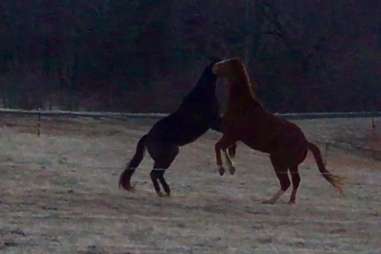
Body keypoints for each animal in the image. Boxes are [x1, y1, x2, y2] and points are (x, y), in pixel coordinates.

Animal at [119, 59, 235, 196]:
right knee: (154, 173)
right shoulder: (213, 122)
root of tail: (148, 136)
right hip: (169, 155)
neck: (203, 93)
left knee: (157, 174)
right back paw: (162, 192)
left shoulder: (216, 120)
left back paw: (166, 191)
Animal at [211, 58, 342, 204]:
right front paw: (231, 168)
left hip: (278, 161)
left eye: (227, 63)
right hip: (292, 165)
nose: (214, 67)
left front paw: (223, 169)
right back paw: (290, 201)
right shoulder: (232, 136)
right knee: (296, 181)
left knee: (286, 182)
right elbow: (225, 149)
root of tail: (305, 142)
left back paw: (270, 201)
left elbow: (218, 146)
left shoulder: (232, 134)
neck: (242, 107)